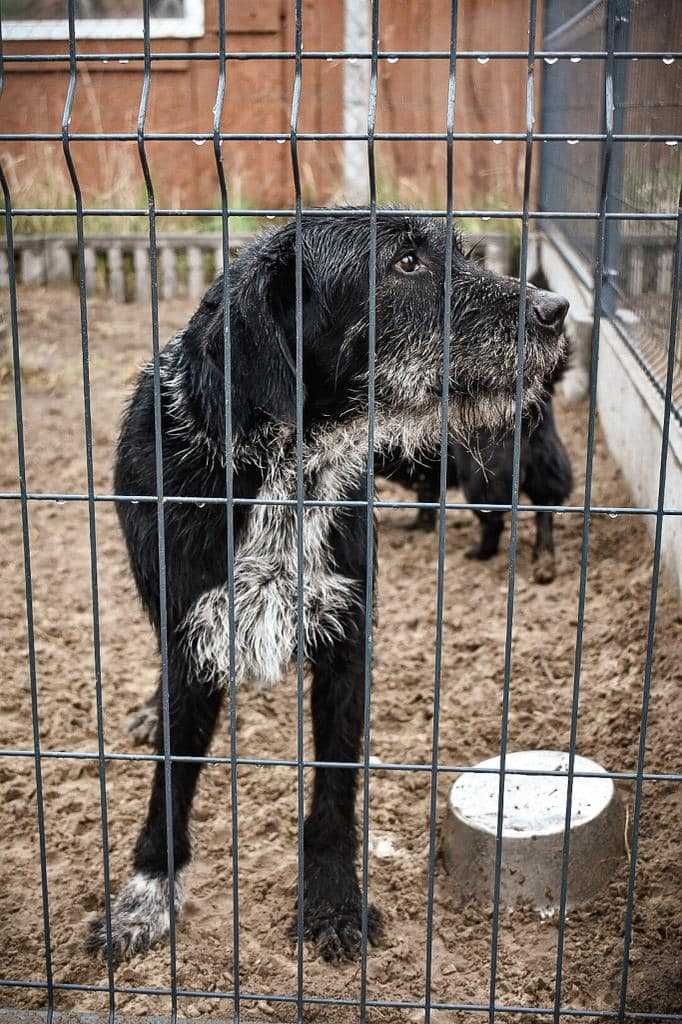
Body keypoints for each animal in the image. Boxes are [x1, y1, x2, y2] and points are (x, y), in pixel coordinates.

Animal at [374, 364, 569, 585]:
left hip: (479, 484)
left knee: (494, 523)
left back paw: (479, 554)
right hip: (545, 467)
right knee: (544, 512)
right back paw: (544, 562)